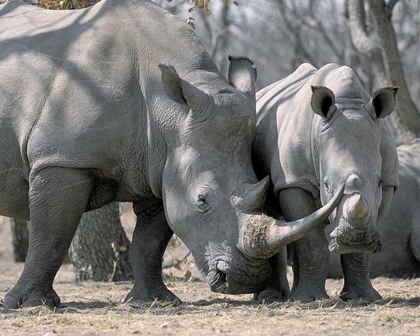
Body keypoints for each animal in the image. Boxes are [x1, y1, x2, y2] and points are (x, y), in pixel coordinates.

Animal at [0, 0, 342, 310]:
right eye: (202, 200)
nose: (246, 279)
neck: (167, 109)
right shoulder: (61, 160)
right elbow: (51, 236)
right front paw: (30, 305)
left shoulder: (161, 165)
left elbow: (151, 242)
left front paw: (155, 301)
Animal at [251, 63, 398, 302]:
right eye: (327, 185)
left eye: (377, 183)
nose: (355, 238)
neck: (348, 104)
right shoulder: (295, 180)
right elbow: (311, 242)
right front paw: (309, 299)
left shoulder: (388, 183)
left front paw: (363, 298)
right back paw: (272, 298)